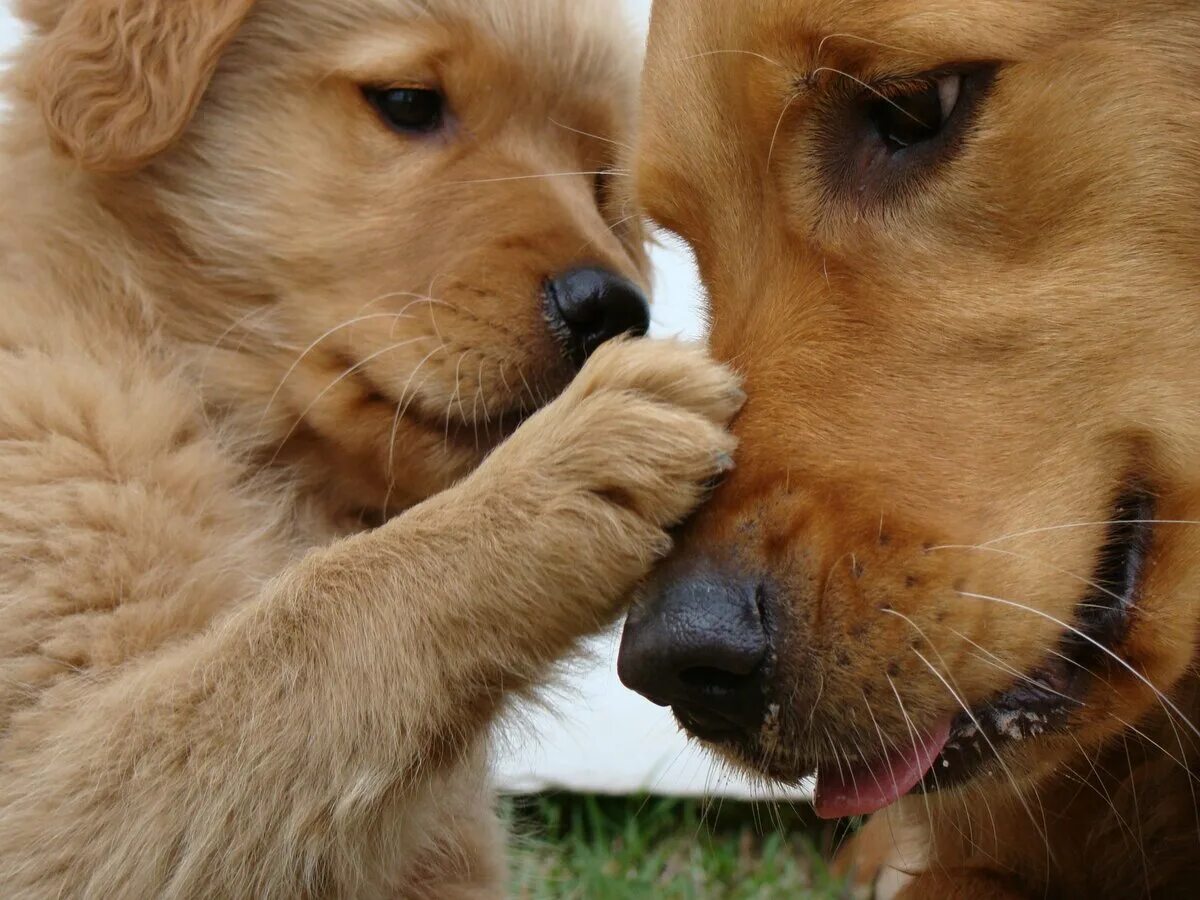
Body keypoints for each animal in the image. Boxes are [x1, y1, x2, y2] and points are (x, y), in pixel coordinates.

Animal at [0, 0, 739, 897]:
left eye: (600, 177)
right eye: (408, 103)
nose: (613, 309)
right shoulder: (39, 782)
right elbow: (310, 625)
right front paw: (564, 469)